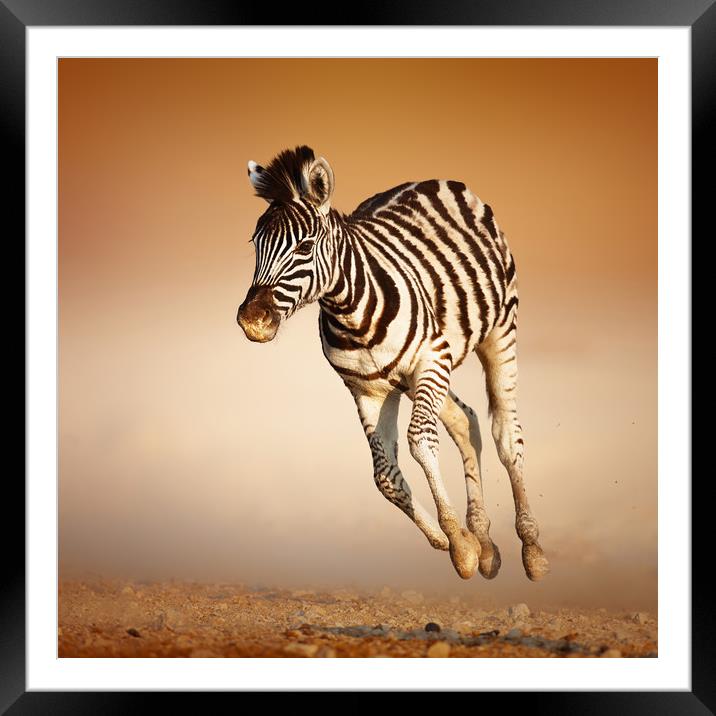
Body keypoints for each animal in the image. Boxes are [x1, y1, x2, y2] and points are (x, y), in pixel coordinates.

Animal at [238, 145, 552, 580]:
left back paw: (532, 549)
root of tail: (429, 180)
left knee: (506, 434)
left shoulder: (431, 359)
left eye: (304, 247)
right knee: (465, 420)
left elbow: (420, 440)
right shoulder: (367, 390)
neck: (351, 314)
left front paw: (460, 545)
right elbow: (384, 475)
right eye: (256, 244)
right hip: (418, 377)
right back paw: (485, 541)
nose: (252, 320)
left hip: (496, 333)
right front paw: (456, 541)